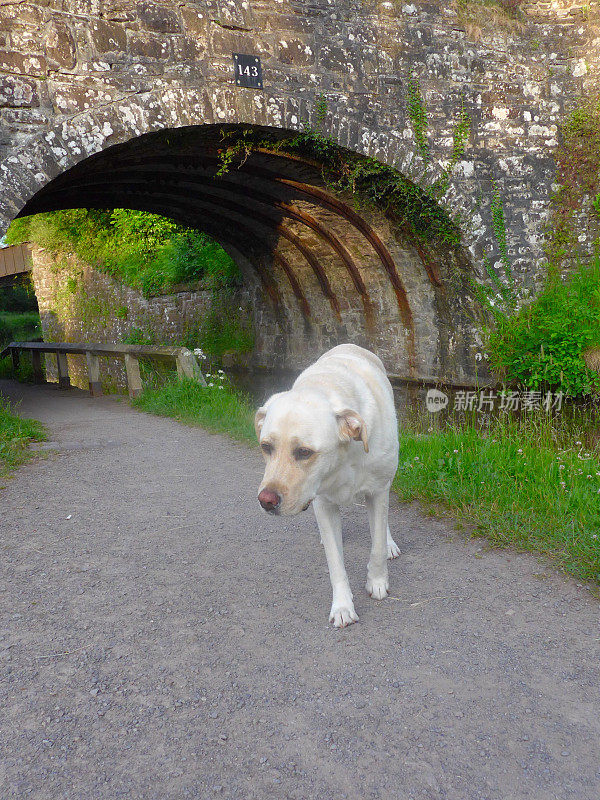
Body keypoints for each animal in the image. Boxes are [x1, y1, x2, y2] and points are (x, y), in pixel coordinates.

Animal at [253, 342, 398, 624]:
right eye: (266, 447)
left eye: (304, 452)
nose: (266, 501)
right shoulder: (323, 503)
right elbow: (335, 564)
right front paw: (342, 606)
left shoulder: (377, 490)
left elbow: (375, 545)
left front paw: (377, 581)